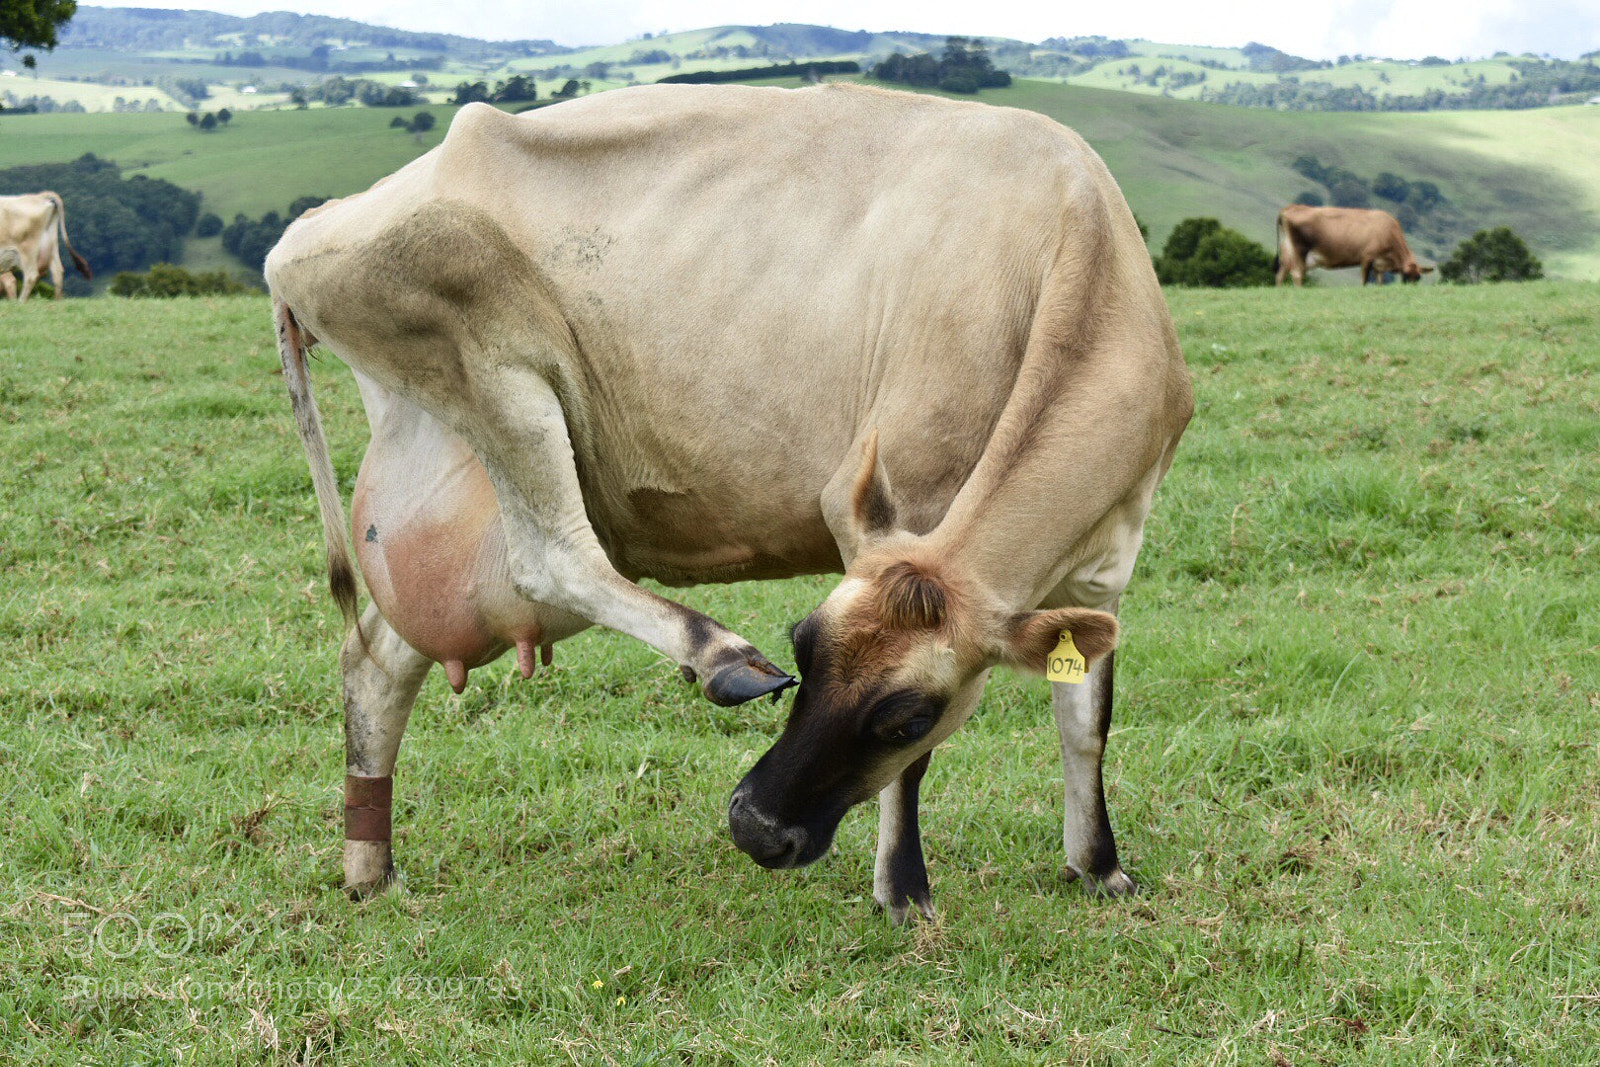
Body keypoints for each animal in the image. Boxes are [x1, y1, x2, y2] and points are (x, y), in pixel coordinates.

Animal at [266, 84, 1192, 919]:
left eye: (905, 714)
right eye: (805, 646)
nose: (754, 827)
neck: (1069, 236)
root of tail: (315, 225)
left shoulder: (1104, 566)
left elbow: (1086, 718)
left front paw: (1099, 866)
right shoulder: (909, 496)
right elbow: (927, 770)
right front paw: (904, 890)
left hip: (447, 491)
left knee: (376, 660)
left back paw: (369, 866)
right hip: (494, 358)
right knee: (550, 558)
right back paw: (721, 656)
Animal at [1274, 204, 1433, 286]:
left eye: (1418, 278)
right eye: (1405, 276)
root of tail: (1291, 208)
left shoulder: (1378, 264)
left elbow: (1380, 281)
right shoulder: (1367, 257)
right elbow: (1364, 280)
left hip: (1286, 251)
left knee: (1280, 274)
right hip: (1300, 250)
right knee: (1297, 273)